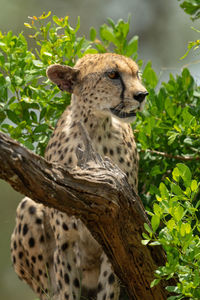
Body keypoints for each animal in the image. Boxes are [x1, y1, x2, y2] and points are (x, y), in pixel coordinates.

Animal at [11, 54, 148, 300]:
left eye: (137, 74)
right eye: (112, 74)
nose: (142, 95)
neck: (95, 130)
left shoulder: (115, 236)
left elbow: (108, 290)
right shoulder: (66, 241)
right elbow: (67, 290)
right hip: (29, 207)